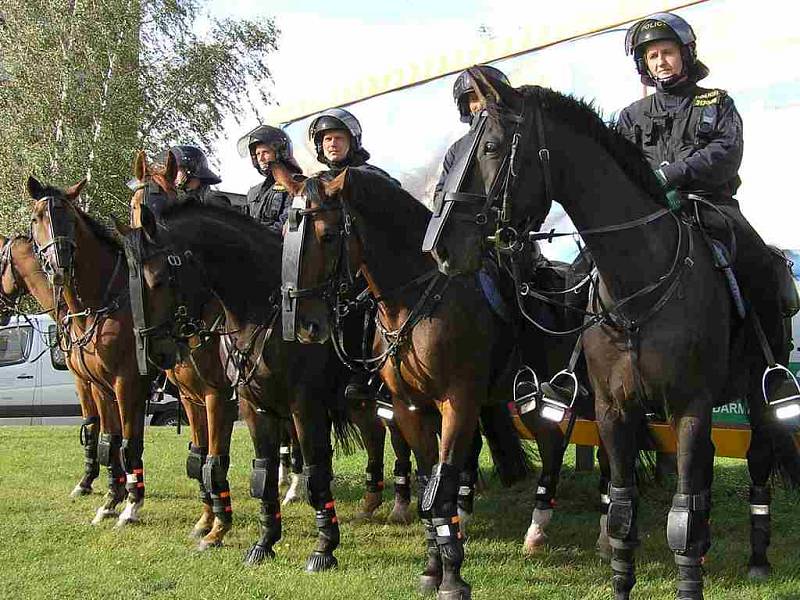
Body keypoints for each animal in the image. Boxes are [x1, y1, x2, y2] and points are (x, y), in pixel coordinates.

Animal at [27, 176, 151, 528]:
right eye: (37, 218)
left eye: (69, 217)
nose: (59, 268)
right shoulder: (98, 386)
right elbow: (108, 441)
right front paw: (111, 500)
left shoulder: (128, 384)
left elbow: (129, 442)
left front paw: (131, 505)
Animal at [127, 203, 356, 572]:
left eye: (158, 280)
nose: (155, 353)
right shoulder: (241, 405)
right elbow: (248, 470)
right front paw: (260, 541)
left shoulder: (294, 405)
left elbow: (313, 470)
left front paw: (324, 547)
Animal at [428, 72, 800, 596]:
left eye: (492, 147)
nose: (443, 248)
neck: (638, 287)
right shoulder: (613, 411)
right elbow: (623, 510)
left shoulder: (690, 408)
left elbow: (684, 519)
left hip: (760, 397)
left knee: (759, 463)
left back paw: (759, 559)